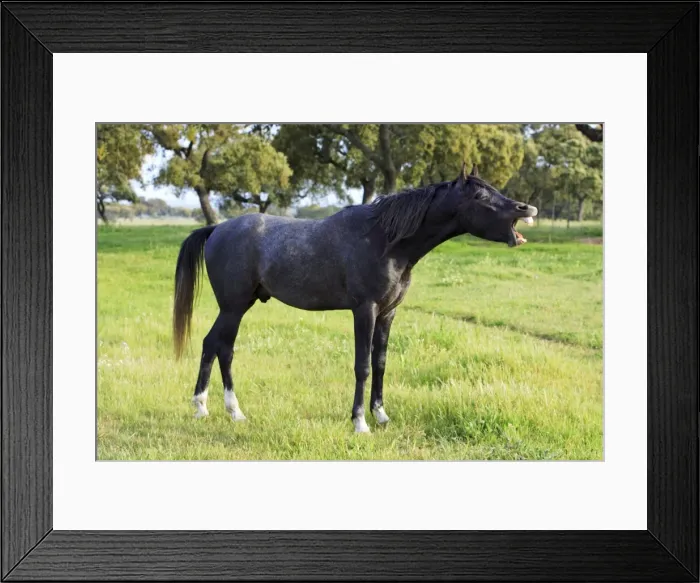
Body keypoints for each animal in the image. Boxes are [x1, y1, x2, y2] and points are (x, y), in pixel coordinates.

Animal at [172, 163, 538, 432]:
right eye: (479, 194)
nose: (526, 207)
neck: (386, 240)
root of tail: (217, 229)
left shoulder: (388, 313)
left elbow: (380, 363)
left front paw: (381, 415)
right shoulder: (365, 310)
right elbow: (362, 365)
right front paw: (360, 422)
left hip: (239, 307)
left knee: (216, 347)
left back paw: (218, 410)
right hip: (233, 307)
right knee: (219, 347)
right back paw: (216, 409)